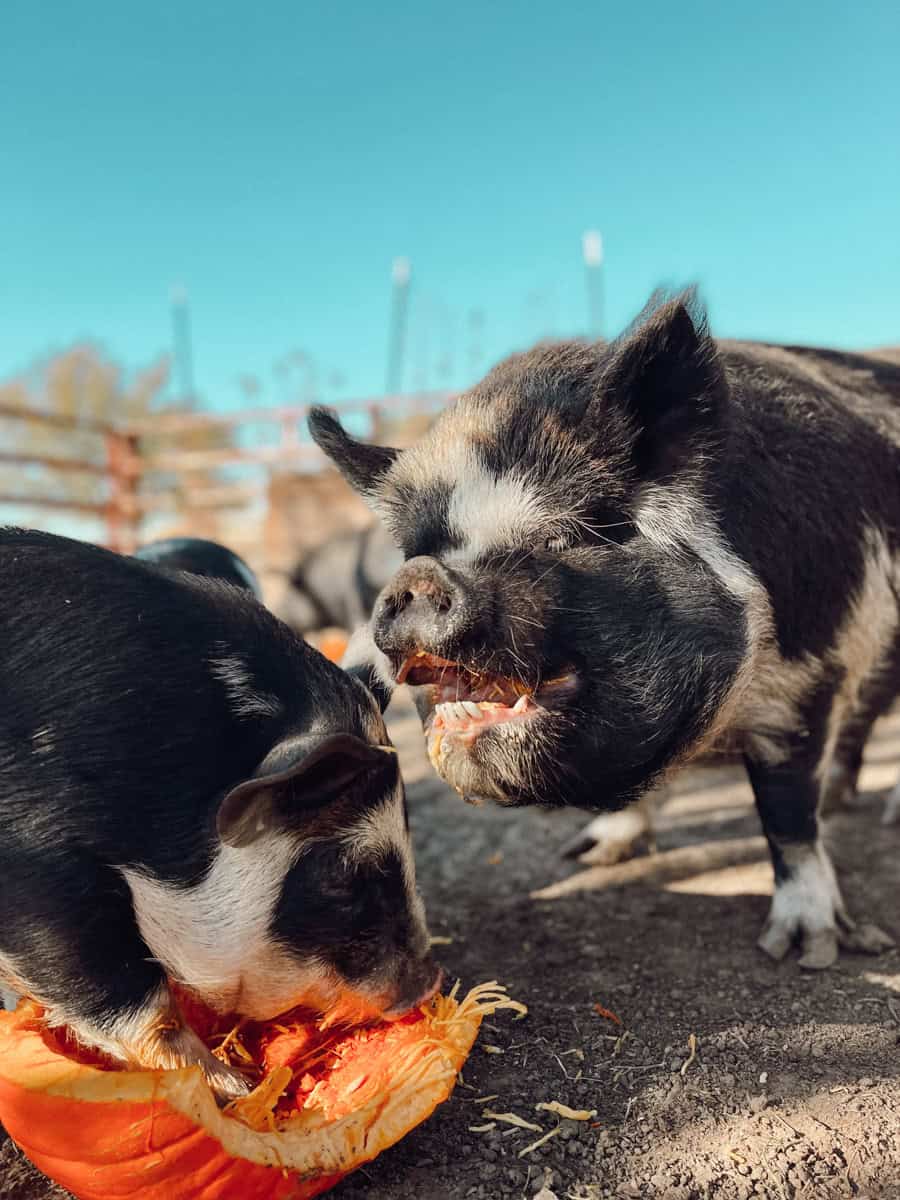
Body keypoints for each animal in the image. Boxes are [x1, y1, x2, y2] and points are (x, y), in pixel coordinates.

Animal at [309, 291, 900, 970]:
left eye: (561, 537)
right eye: (417, 549)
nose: (417, 577)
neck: (716, 733)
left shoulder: (812, 674)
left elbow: (788, 812)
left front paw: (803, 950)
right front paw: (590, 856)